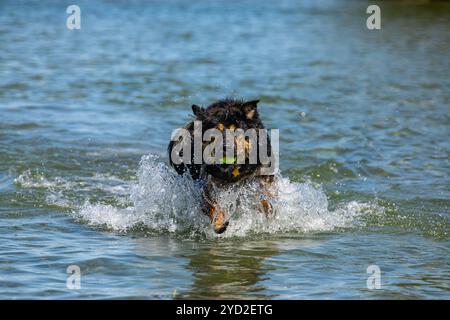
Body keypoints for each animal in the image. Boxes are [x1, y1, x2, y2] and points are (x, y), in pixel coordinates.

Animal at [168, 97, 274, 232]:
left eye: (237, 131)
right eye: (215, 132)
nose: (225, 147)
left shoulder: (261, 174)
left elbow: (265, 196)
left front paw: (270, 210)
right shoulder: (206, 183)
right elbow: (211, 204)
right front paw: (219, 223)